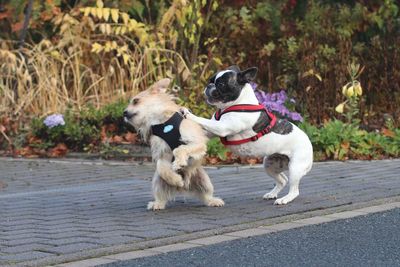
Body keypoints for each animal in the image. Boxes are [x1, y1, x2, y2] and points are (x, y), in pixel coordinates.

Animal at [124, 78, 225, 210]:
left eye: (136, 101)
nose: (124, 113)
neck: (162, 122)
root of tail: (184, 187)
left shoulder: (198, 143)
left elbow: (179, 149)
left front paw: (179, 162)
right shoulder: (163, 153)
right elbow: (161, 166)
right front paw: (176, 179)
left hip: (204, 180)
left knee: (206, 194)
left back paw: (213, 201)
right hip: (158, 181)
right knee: (161, 194)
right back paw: (159, 202)